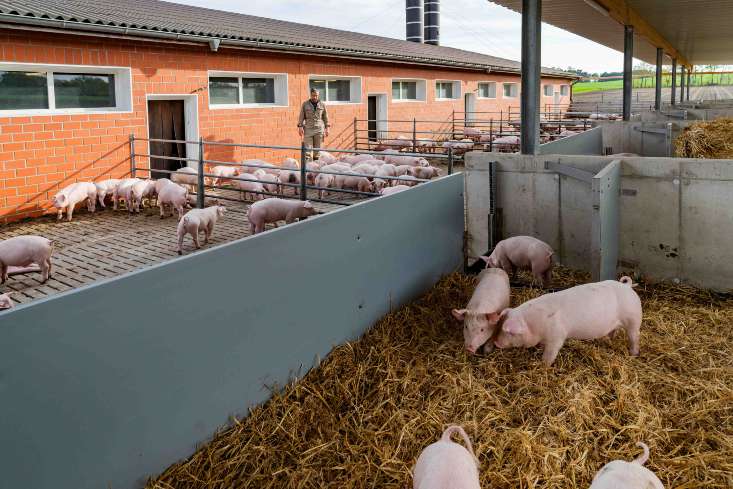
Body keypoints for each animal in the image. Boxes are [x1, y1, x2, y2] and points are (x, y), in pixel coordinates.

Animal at [492, 274, 640, 366]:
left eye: (510, 332)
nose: (495, 342)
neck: (534, 323)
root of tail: (627, 286)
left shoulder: (557, 336)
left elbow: (550, 354)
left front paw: (543, 365)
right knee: (613, 332)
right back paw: (608, 340)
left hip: (634, 319)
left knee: (634, 337)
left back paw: (633, 354)